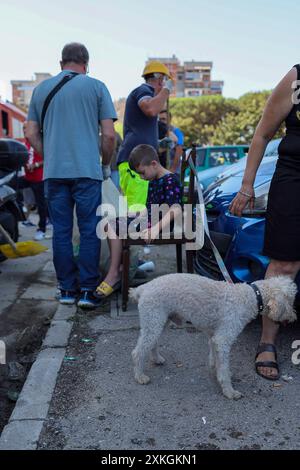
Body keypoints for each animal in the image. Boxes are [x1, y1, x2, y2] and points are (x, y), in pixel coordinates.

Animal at [129, 274, 298, 398]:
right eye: (290, 301)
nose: (293, 317)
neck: (250, 296)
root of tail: (143, 287)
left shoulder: (214, 337)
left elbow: (215, 359)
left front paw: (216, 371)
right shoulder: (223, 339)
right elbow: (223, 367)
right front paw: (229, 391)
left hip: (158, 321)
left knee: (152, 343)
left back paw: (156, 359)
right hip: (153, 319)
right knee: (138, 352)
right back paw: (140, 376)